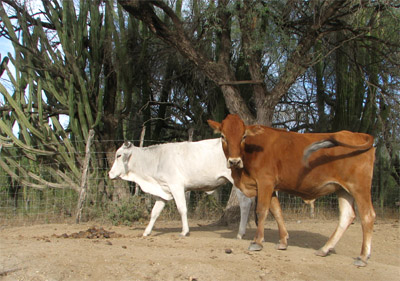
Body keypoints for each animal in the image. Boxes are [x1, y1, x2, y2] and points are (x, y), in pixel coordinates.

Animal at [108, 138, 253, 236]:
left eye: (118, 155)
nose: (109, 174)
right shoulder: (164, 190)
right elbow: (155, 212)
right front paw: (146, 232)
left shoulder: (176, 186)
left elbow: (182, 208)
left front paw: (184, 231)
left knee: (245, 204)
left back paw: (241, 232)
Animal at [208, 113, 376, 264]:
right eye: (223, 136)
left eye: (243, 136)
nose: (234, 161)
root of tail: (358, 135)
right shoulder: (272, 186)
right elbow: (276, 211)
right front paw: (283, 241)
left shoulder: (265, 182)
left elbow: (262, 210)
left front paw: (257, 242)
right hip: (343, 189)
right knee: (347, 216)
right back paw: (324, 249)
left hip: (359, 187)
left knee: (367, 216)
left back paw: (362, 256)